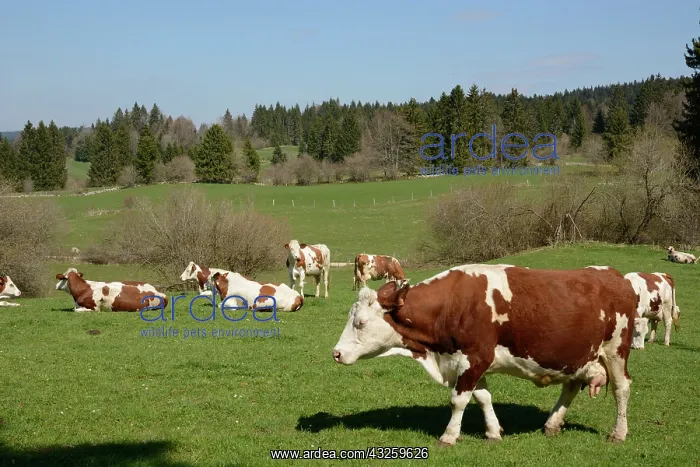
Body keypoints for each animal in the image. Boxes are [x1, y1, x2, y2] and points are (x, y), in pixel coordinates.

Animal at [332, 264, 637, 447]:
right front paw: (493, 431)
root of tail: (614, 275)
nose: (336, 353)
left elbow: (458, 400)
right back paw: (552, 424)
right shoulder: (469, 361)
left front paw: (449, 436)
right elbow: (482, 397)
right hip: (577, 356)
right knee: (571, 386)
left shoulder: (474, 359)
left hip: (616, 351)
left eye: (360, 323)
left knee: (622, 388)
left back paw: (619, 433)